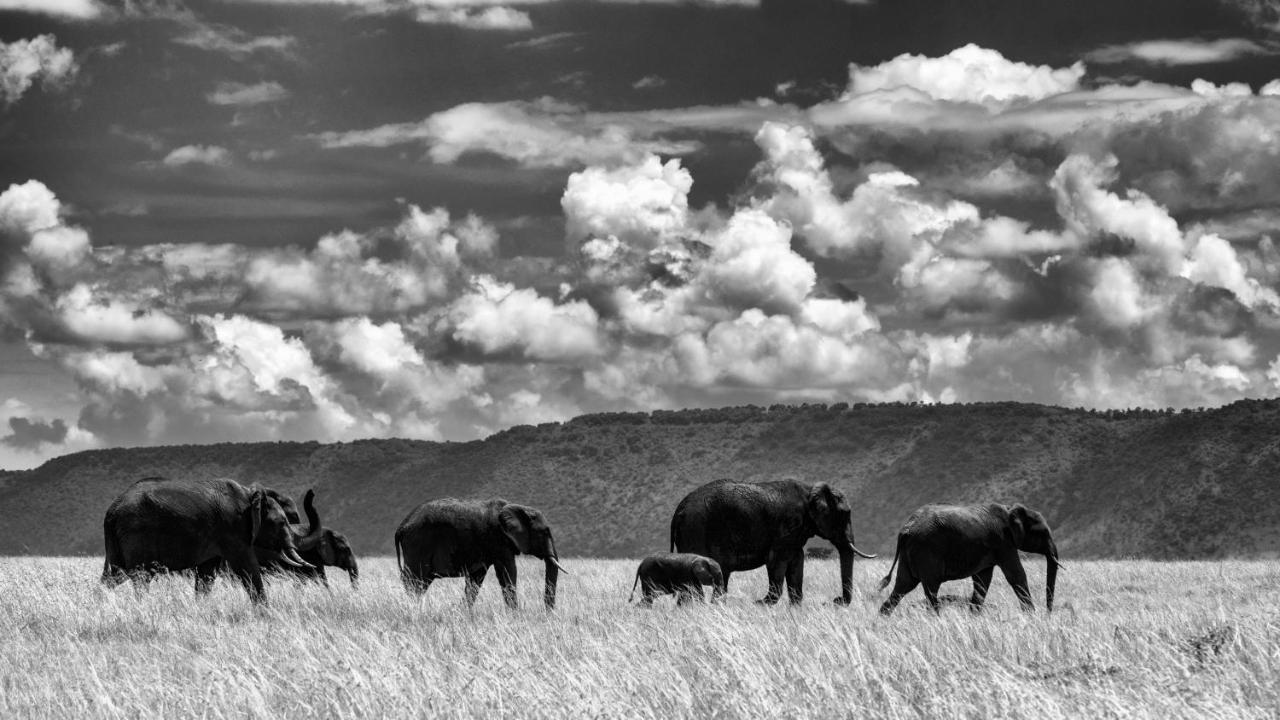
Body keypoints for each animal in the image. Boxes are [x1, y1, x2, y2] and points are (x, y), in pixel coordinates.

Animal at [100, 474, 309, 602]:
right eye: (282, 522)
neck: (250, 494)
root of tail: (112, 509)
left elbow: (206, 575)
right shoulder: (233, 529)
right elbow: (247, 567)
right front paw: (265, 613)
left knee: (115, 574)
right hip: (136, 533)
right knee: (140, 575)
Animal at [665, 476, 875, 604]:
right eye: (845, 514)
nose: (834, 601)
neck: (810, 490)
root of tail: (678, 510)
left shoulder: (795, 535)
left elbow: (797, 564)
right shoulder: (787, 527)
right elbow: (776, 561)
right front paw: (759, 604)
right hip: (694, 529)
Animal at [880, 502, 1059, 614]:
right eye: (1043, 533)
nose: (1048, 614)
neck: (1010, 509)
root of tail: (905, 530)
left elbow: (982, 580)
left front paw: (974, 616)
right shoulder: (1003, 542)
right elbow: (1016, 575)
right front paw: (1031, 615)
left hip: (910, 553)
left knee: (903, 585)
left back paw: (882, 619)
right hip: (926, 550)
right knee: (930, 588)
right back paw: (936, 619)